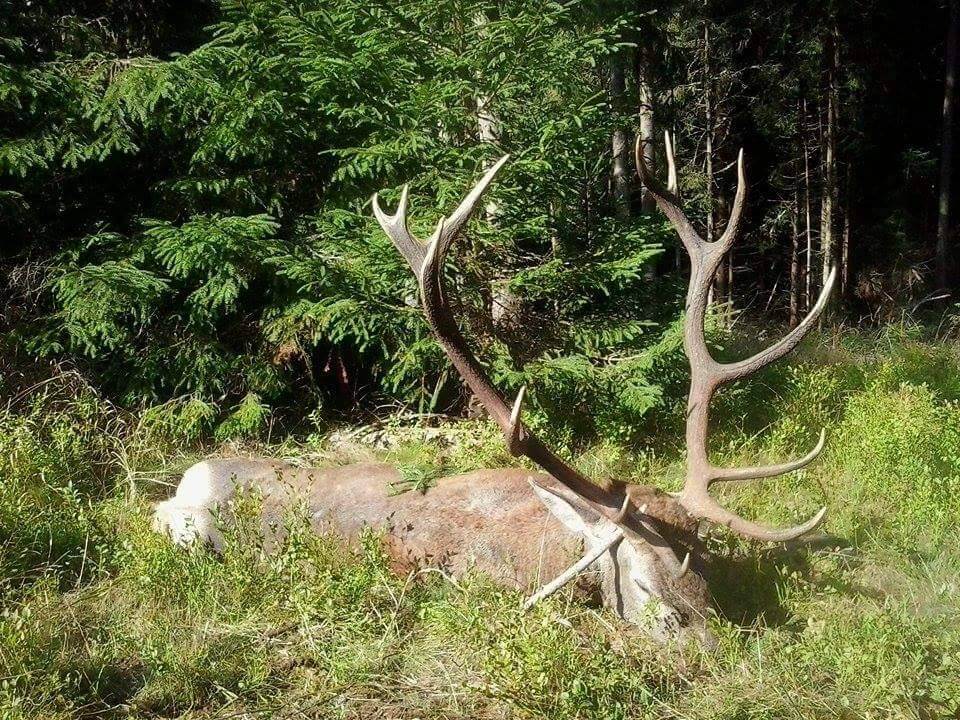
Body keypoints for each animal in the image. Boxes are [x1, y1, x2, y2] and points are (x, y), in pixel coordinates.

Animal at [153, 134, 835, 642]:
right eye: (646, 586)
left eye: (707, 580)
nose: (706, 650)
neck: (552, 549)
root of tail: (191, 474)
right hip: (186, 532)